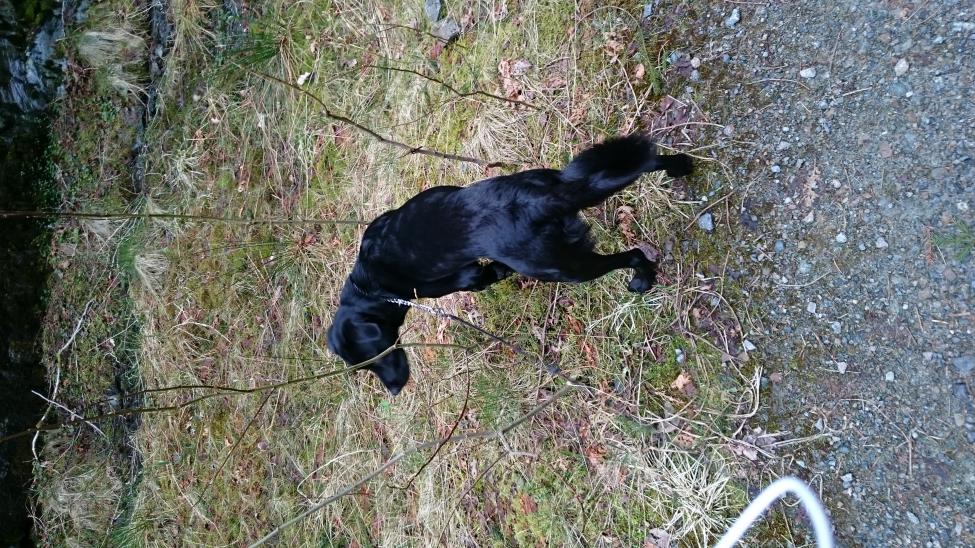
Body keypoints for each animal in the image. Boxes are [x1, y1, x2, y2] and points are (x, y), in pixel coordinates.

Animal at [328, 134, 693, 395]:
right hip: (567, 180)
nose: (393, 391)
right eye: (365, 367)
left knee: (632, 255)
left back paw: (642, 278)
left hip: (565, 267)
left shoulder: (469, 277)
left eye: (375, 357)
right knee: (644, 161)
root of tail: (535, 201)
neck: (368, 283)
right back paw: (679, 166)